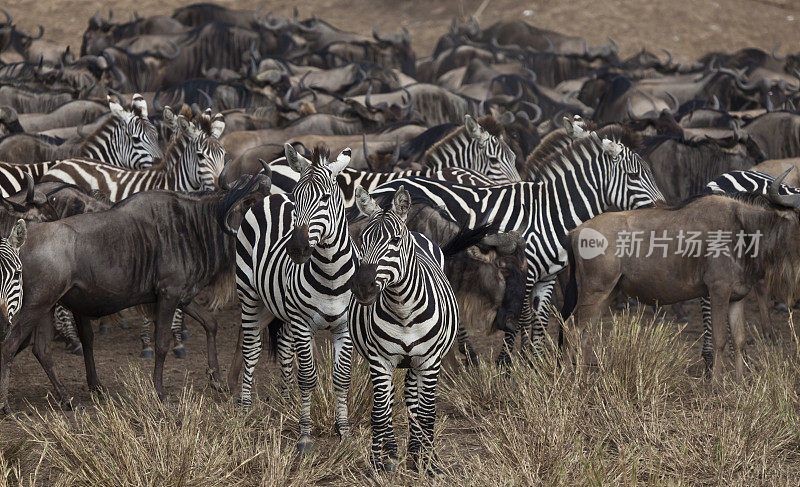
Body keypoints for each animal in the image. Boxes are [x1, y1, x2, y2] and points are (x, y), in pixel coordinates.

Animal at [231, 144, 356, 454]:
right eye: (297, 197)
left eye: (325, 198)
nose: (297, 248)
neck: (331, 275)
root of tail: (272, 196)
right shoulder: (302, 321)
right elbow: (308, 376)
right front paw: (305, 435)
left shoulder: (344, 326)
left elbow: (342, 377)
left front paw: (344, 432)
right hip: (250, 297)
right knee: (251, 350)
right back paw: (246, 409)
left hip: (278, 306)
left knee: (285, 346)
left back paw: (288, 402)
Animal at [348, 186, 456, 472]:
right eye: (362, 239)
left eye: (395, 240)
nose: (362, 288)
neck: (403, 310)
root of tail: (416, 232)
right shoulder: (379, 359)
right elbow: (379, 412)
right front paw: (378, 463)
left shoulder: (429, 361)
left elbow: (427, 413)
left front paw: (429, 463)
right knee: (392, 398)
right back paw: (395, 451)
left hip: (418, 362)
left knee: (413, 399)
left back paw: (417, 451)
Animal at [372, 127, 664, 366]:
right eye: (634, 175)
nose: (662, 208)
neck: (550, 212)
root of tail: (385, 183)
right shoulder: (526, 270)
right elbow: (520, 318)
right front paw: (509, 366)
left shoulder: (547, 277)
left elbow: (539, 321)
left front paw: (536, 365)